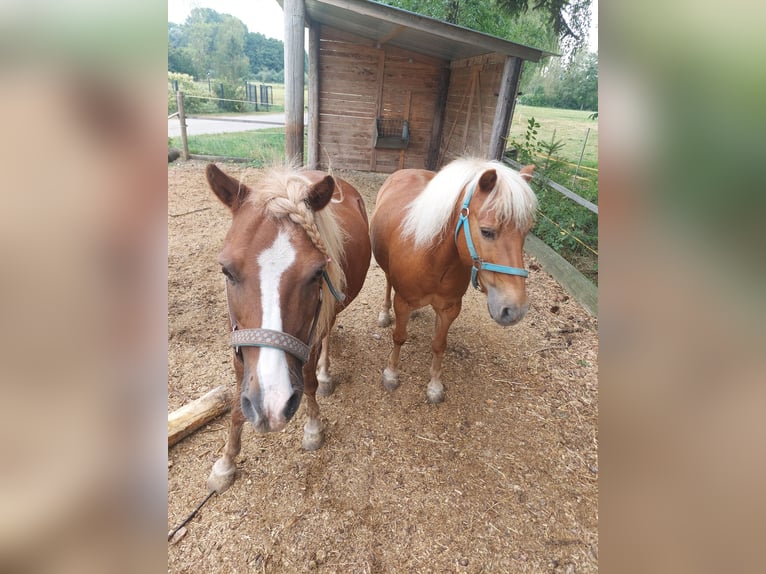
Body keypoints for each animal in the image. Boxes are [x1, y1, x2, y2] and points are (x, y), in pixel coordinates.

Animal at [204, 163, 371, 494]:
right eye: (226, 270)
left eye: (317, 273)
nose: (271, 404)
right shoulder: (239, 347)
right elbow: (236, 403)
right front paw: (226, 463)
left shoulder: (311, 336)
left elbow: (309, 382)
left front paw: (313, 428)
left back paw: (326, 373)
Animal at [369, 157, 537, 403]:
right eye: (487, 232)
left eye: (525, 233)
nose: (515, 309)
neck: (433, 258)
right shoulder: (403, 302)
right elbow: (399, 337)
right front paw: (391, 374)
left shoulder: (449, 308)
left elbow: (439, 345)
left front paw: (435, 385)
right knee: (388, 282)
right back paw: (384, 314)